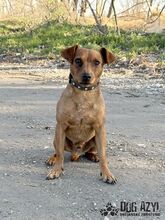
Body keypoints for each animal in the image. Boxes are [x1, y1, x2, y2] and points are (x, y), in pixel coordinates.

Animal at [45, 45, 116, 184]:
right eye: (78, 60)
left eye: (97, 62)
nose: (87, 76)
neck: (84, 94)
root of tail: (76, 153)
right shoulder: (61, 126)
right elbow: (60, 154)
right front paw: (56, 170)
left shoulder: (100, 129)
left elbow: (103, 155)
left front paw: (107, 173)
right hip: (57, 138)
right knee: (58, 151)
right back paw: (52, 158)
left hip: (95, 139)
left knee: (92, 152)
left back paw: (93, 156)